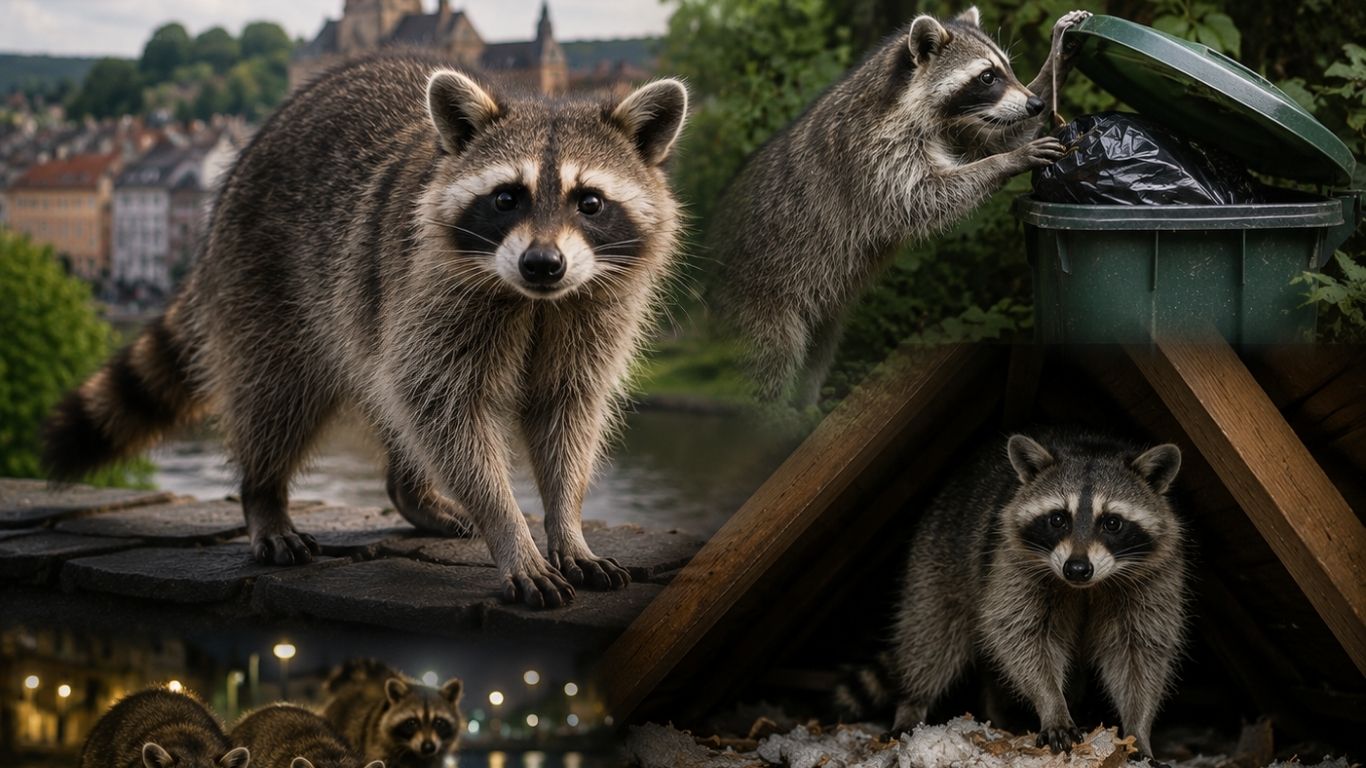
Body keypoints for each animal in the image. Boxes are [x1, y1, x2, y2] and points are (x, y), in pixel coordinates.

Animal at [42, 54, 689, 608]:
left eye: (590, 202)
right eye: (507, 198)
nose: (543, 264)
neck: (533, 301)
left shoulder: (594, 310)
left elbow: (566, 411)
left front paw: (567, 523)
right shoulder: (429, 289)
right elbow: (446, 408)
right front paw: (509, 530)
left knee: (389, 397)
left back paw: (408, 490)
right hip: (265, 280)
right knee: (278, 395)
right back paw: (264, 493)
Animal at [712, 8, 1090, 403]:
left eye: (1008, 69)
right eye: (987, 76)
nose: (1036, 105)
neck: (906, 101)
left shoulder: (954, 127)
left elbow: (998, 138)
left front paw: (1056, 59)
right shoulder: (873, 154)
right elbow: (924, 197)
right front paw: (1006, 161)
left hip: (820, 311)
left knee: (817, 352)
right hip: (758, 304)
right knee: (768, 366)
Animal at [838, 429, 1188, 760]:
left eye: (1112, 523)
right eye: (1058, 519)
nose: (1076, 569)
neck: (1086, 587)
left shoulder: (1155, 578)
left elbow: (1140, 651)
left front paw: (1137, 730)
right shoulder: (1010, 562)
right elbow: (1021, 636)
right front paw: (1052, 705)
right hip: (938, 555)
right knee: (931, 634)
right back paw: (913, 702)